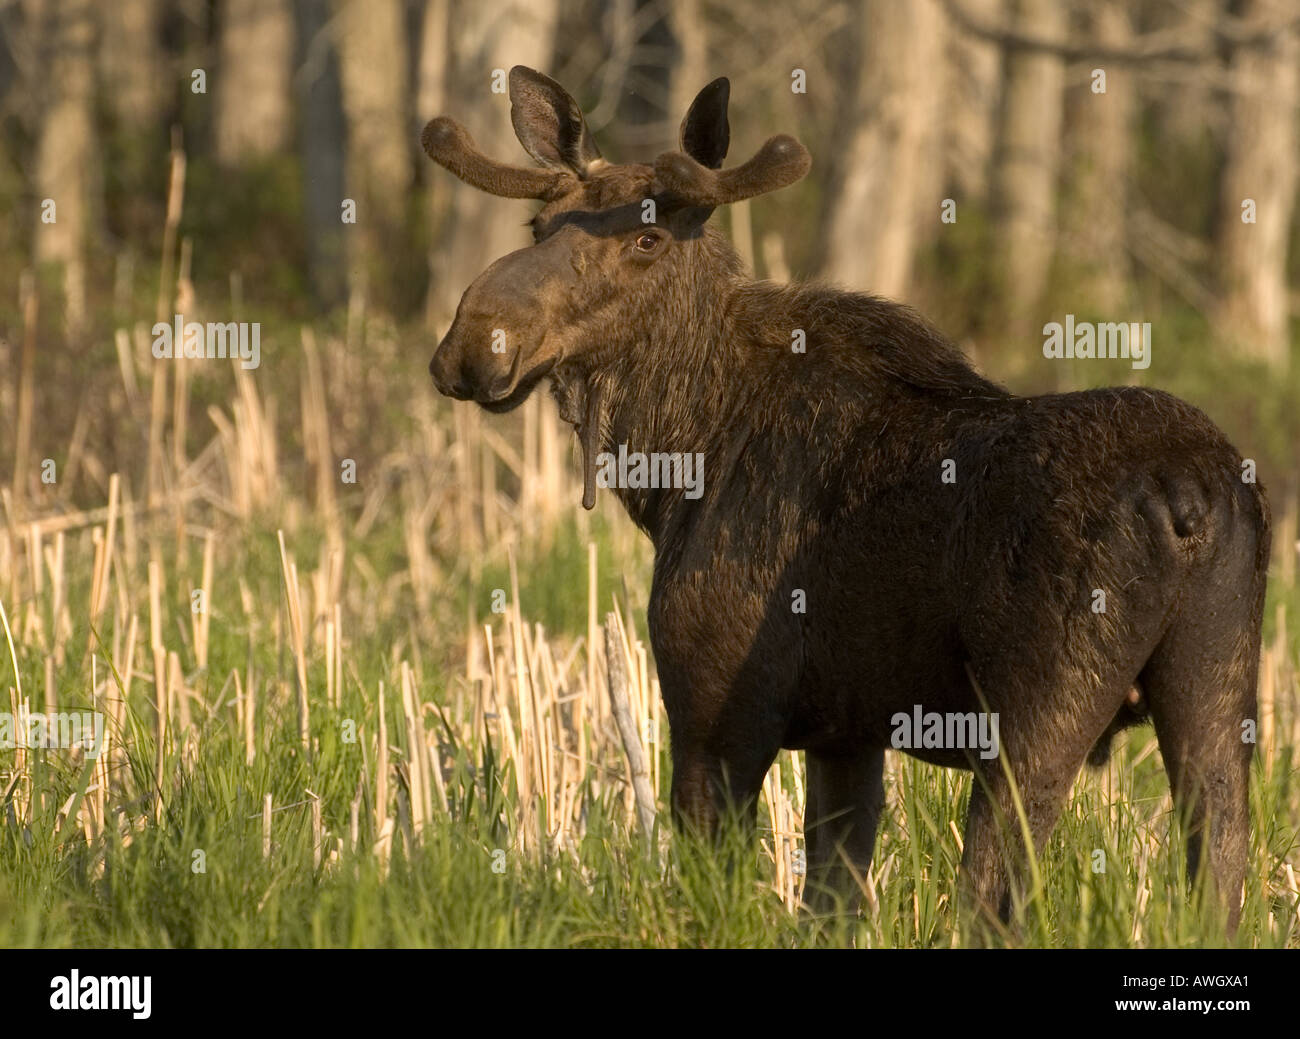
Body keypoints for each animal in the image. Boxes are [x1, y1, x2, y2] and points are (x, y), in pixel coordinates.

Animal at [423, 66, 1271, 935]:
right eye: (537, 225)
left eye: (647, 240)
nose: (472, 340)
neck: (678, 462)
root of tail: (1189, 499)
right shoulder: (847, 734)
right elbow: (830, 901)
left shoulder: (716, 710)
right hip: (1218, 694)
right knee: (1222, 872)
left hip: (1033, 713)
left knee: (994, 898)